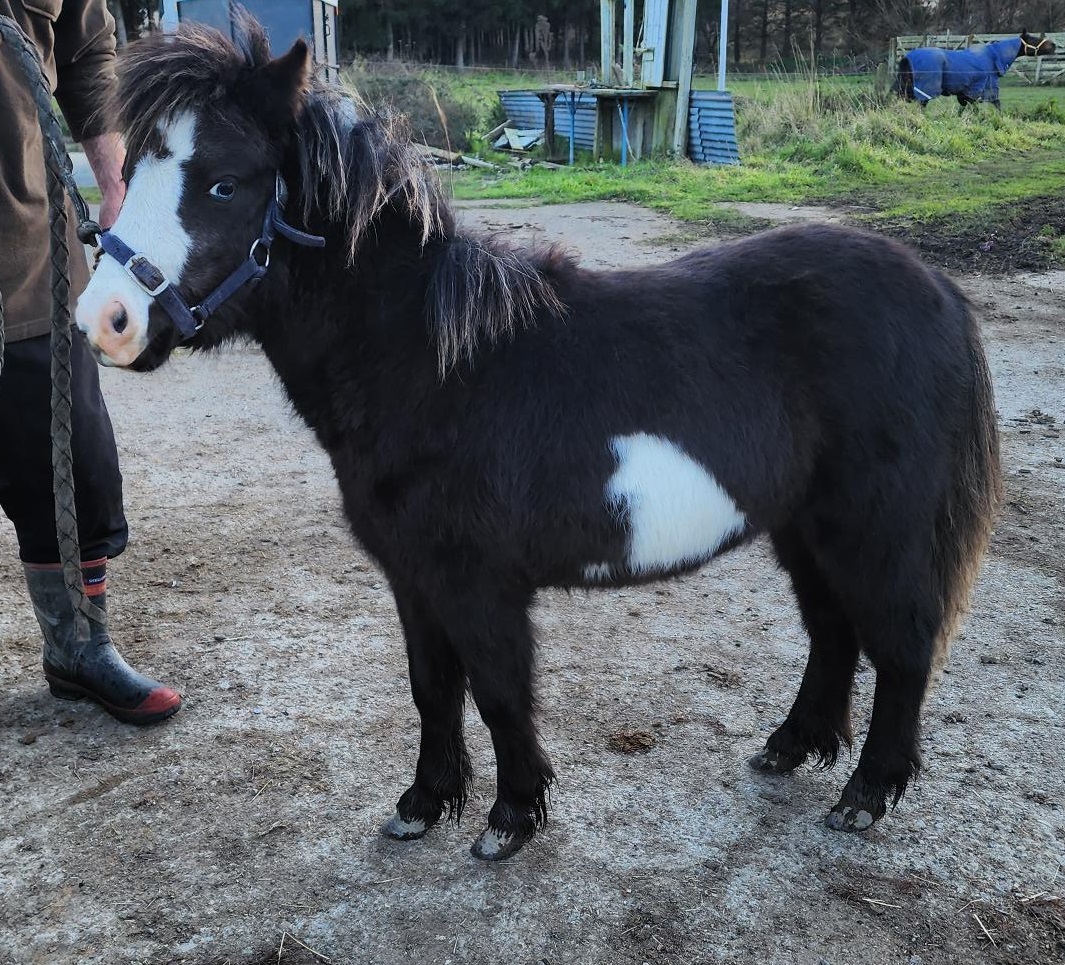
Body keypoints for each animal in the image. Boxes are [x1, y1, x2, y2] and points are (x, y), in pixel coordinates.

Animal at [78, 16, 1001, 856]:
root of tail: (938, 292)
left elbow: (497, 692)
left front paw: (510, 817)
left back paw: (865, 794)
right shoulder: (413, 577)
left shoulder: (478, 582)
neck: (436, 367)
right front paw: (424, 804)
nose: (104, 321)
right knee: (832, 631)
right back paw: (790, 746)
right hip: (802, 526)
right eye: (132, 168)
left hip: (873, 528)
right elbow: (431, 687)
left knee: (902, 643)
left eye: (225, 184)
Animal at [898, 31, 1056, 108]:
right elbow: (995, 106)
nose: (1053, 45)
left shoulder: (966, 93)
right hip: (924, 90)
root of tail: (907, 58)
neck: (993, 56)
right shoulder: (983, 89)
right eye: (1033, 39)